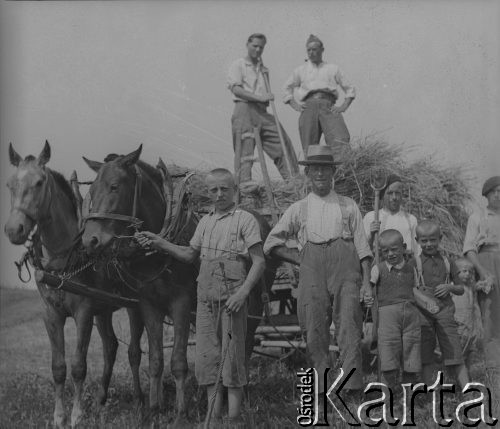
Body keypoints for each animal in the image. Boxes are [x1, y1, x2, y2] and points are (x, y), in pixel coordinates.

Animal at [4, 142, 144, 426]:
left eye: (39, 182)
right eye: (10, 184)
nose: (15, 230)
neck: (63, 255)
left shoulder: (83, 313)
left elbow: (79, 365)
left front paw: (77, 414)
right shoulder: (51, 314)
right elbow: (58, 367)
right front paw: (59, 416)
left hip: (133, 305)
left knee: (134, 352)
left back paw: (138, 399)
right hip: (103, 309)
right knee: (110, 347)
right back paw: (101, 401)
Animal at [81, 146, 278, 424]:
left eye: (114, 186)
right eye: (91, 191)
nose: (90, 240)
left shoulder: (181, 303)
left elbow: (178, 360)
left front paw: (181, 412)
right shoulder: (149, 304)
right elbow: (155, 359)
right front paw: (154, 409)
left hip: (253, 303)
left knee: (244, 344)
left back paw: (242, 393)